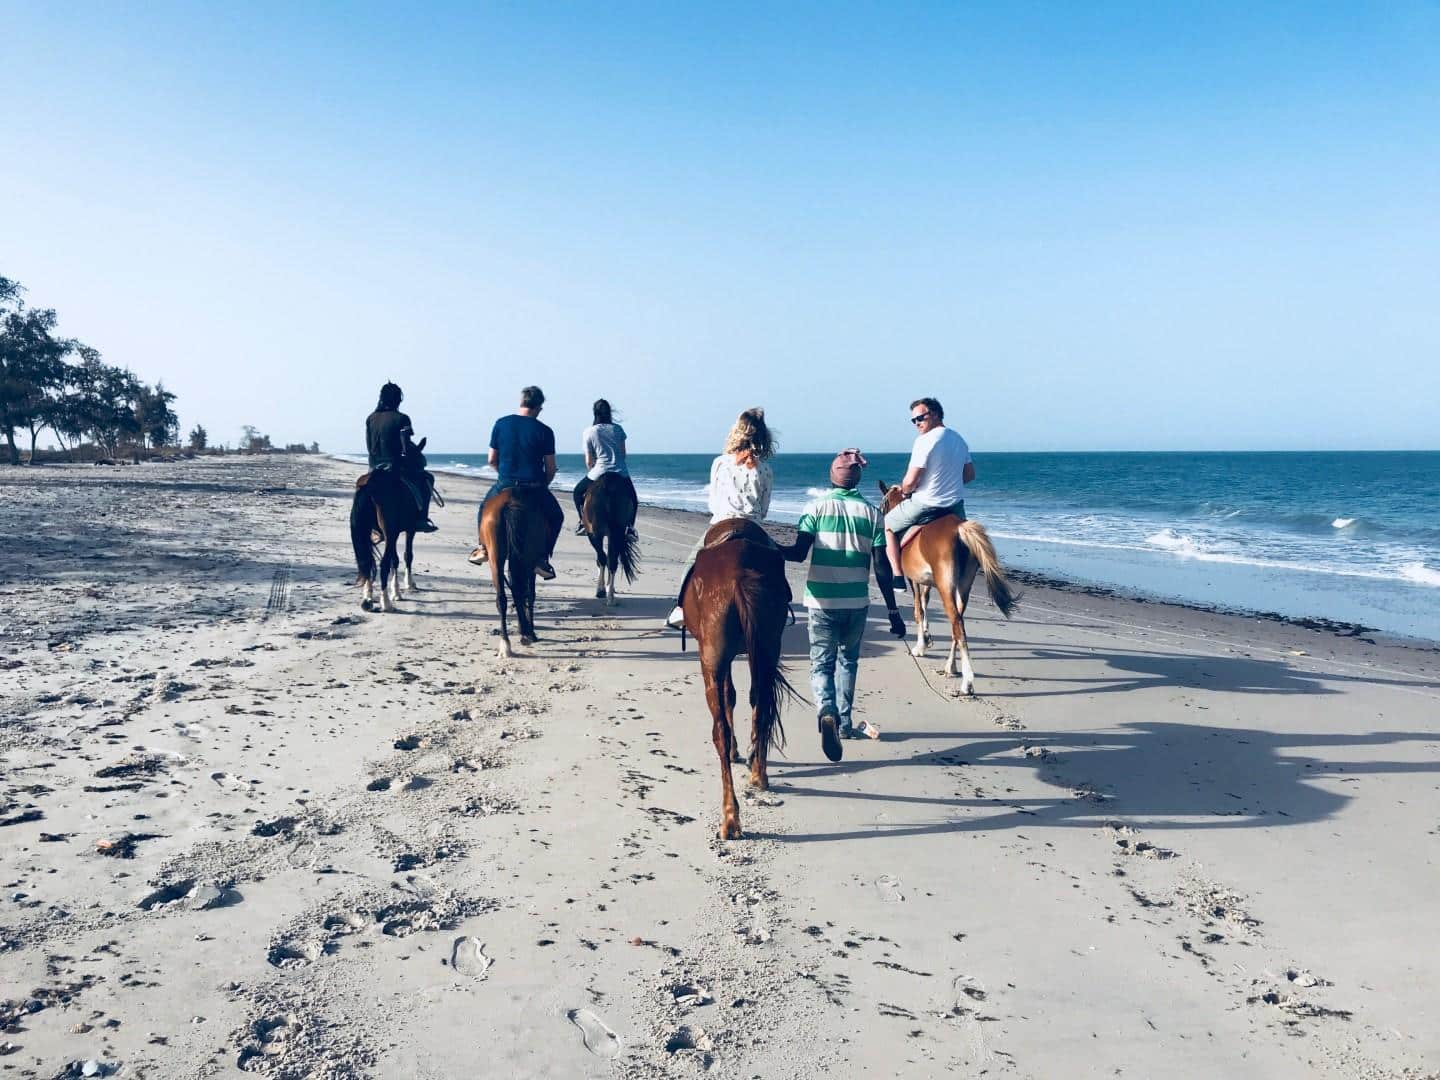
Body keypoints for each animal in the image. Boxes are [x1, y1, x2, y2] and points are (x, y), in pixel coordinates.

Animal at [483, 489, 550, 659]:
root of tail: (509, 504)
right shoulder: (531, 565)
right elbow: (530, 594)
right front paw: (529, 630)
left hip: (496, 558)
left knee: (502, 598)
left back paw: (506, 643)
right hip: (526, 558)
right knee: (520, 591)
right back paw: (526, 634)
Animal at [578, 475, 642, 604]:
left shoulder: (594, 534)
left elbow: (601, 558)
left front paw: (603, 588)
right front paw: (608, 586)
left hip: (595, 535)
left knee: (602, 558)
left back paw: (602, 592)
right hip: (617, 532)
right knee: (612, 561)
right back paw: (611, 596)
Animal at [676, 521, 794, 840]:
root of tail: (740, 573)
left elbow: (728, 699)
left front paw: (734, 751)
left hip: (711, 660)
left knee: (720, 731)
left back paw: (730, 818)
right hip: (768, 649)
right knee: (762, 708)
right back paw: (759, 775)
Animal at [869, 480, 1019, 694]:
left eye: (883, 505)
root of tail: (959, 528)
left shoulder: (914, 580)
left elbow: (918, 611)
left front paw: (920, 647)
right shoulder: (926, 582)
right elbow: (924, 605)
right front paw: (926, 637)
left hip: (945, 586)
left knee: (957, 624)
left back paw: (967, 682)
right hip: (963, 587)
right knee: (957, 623)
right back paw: (951, 666)